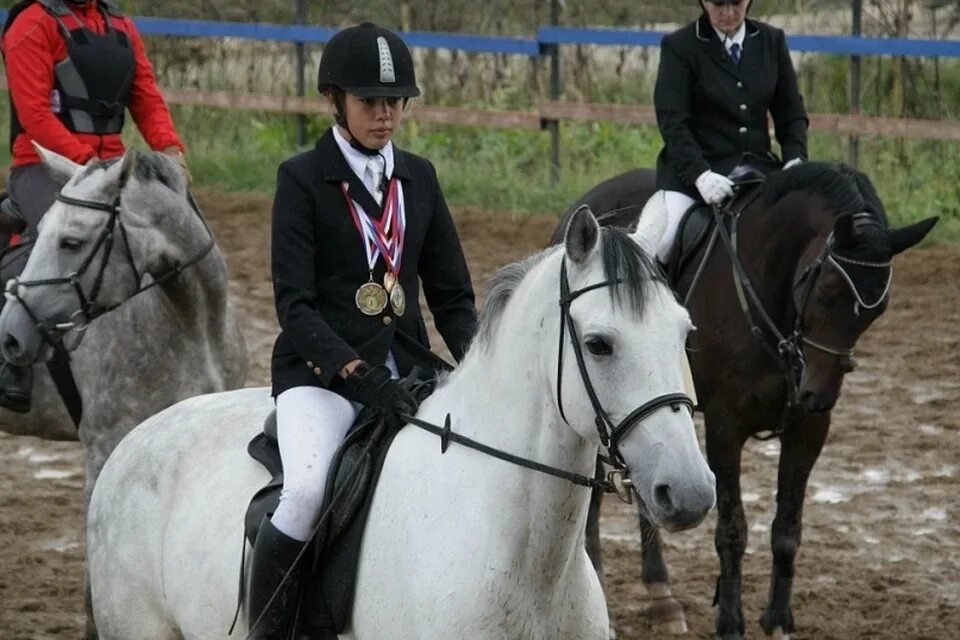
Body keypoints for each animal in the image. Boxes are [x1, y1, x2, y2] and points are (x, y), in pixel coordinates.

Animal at [556, 164, 936, 640]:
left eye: (877, 309)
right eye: (826, 288)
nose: (816, 395)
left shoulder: (808, 430)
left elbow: (787, 529)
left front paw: (777, 621)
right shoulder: (725, 425)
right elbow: (732, 529)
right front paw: (730, 622)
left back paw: (661, 595)